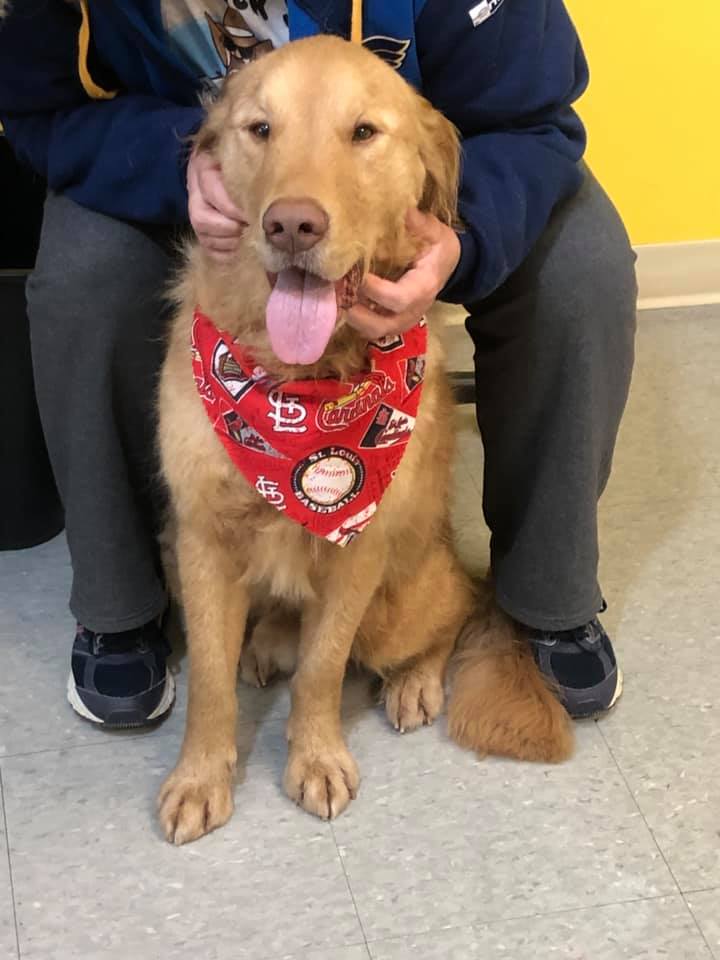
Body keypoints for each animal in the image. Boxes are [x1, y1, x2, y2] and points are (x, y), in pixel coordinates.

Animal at [158, 35, 572, 848]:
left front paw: (316, 757)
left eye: (363, 133)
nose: (291, 225)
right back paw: (268, 643)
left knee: (451, 617)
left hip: (403, 603)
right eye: (260, 129)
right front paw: (200, 778)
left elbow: (323, 668)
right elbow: (210, 684)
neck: (299, 382)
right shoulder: (201, 539)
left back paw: (414, 681)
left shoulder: (359, 548)